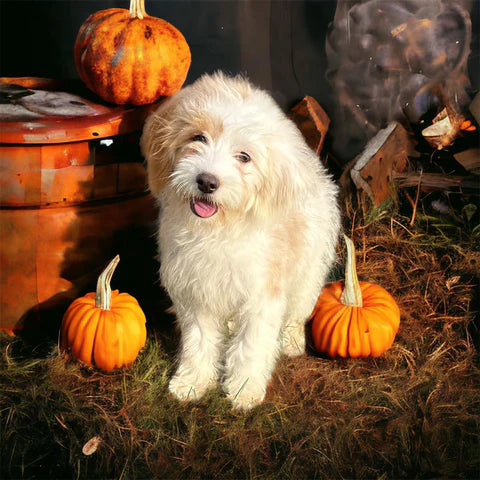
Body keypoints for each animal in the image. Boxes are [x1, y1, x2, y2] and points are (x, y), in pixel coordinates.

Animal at [141, 72, 340, 408]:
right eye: (198, 138)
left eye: (244, 157)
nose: (207, 182)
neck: (219, 229)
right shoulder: (196, 291)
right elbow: (199, 340)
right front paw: (193, 382)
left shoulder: (262, 295)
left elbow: (252, 343)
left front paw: (244, 389)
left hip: (310, 268)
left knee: (298, 309)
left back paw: (291, 341)